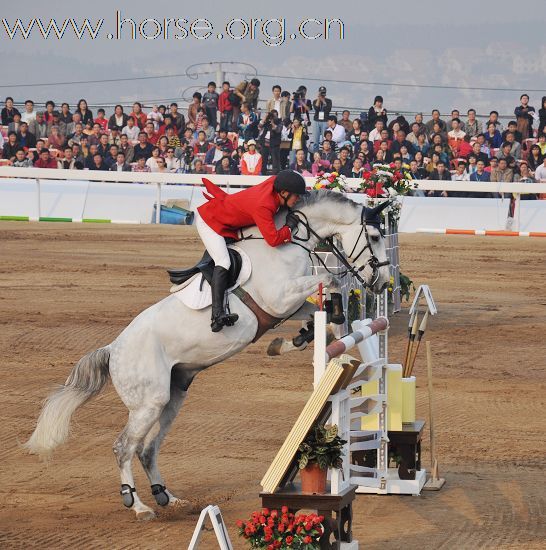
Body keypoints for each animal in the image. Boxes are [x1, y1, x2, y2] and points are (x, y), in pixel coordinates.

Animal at [25, 191, 388, 520]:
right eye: (374, 236)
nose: (383, 283)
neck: (288, 242)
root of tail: (113, 349)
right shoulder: (280, 297)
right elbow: (330, 278)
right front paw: (327, 318)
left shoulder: (285, 306)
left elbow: (316, 315)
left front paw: (291, 340)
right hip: (148, 402)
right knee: (124, 446)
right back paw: (139, 505)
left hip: (173, 396)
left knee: (147, 449)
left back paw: (168, 497)